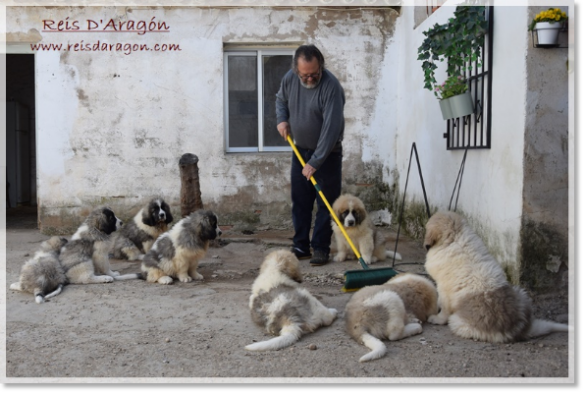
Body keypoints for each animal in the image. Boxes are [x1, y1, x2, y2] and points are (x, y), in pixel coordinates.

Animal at [422, 211, 568, 344]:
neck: (455, 237)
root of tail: (516, 330)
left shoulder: (443, 288)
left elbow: (444, 308)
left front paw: (437, 319)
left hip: (458, 322)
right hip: (521, 293)